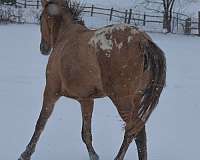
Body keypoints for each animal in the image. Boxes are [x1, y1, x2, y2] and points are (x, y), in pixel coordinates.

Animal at [18, 0, 166, 159]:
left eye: (41, 17)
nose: (43, 48)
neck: (65, 36)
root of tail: (143, 40)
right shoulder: (86, 100)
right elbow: (86, 133)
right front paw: (94, 156)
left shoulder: (51, 91)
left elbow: (40, 123)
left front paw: (25, 154)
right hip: (137, 98)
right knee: (138, 132)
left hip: (122, 101)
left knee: (134, 131)